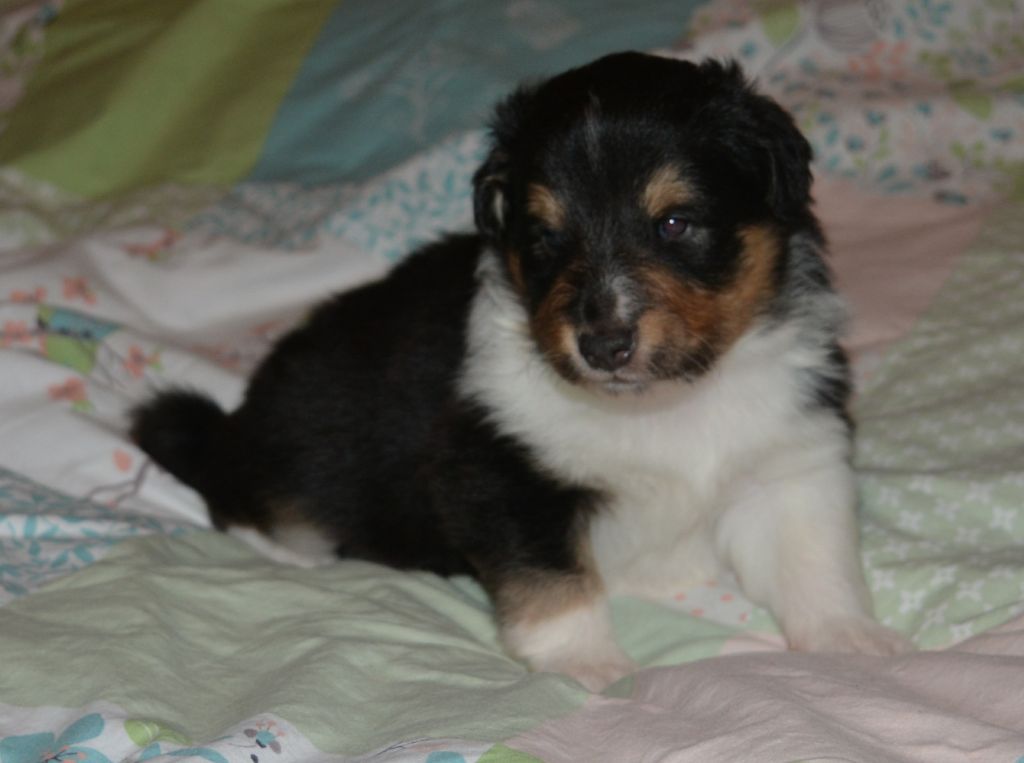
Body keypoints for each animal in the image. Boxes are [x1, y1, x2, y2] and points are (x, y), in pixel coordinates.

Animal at [132, 51, 909, 692]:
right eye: (545, 237)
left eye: (675, 223)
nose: (602, 343)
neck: (660, 402)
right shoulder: (497, 470)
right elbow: (554, 579)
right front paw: (592, 666)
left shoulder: (791, 459)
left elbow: (816, 561)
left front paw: (852, 644)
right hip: (298, 458)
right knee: (236, 493)